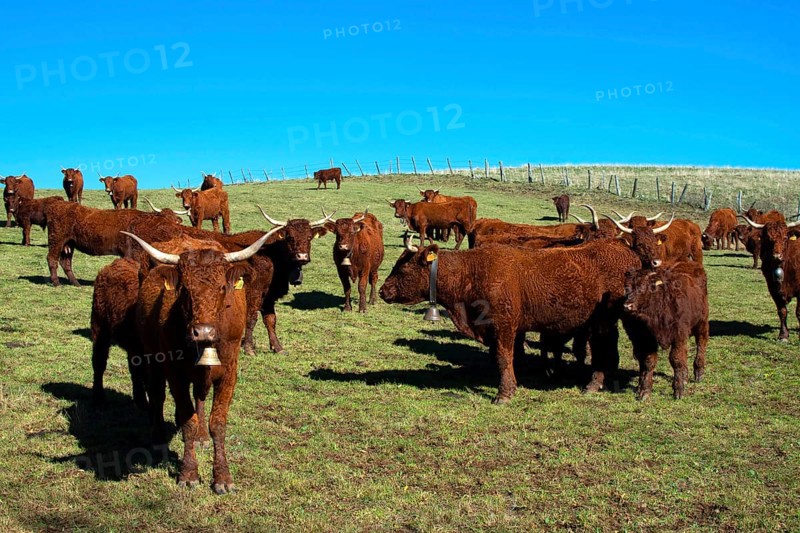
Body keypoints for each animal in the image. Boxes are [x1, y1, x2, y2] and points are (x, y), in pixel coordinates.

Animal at [127, 228, 283, 494]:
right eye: (185, 290)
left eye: (222, 287)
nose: (203, 332)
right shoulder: (175, 374)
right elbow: (187, 419)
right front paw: (189, 473)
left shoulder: (229, 373)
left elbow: (217, 423)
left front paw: (222, 477)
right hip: (152, 359)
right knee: (157, 395)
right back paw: (158, 438)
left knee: (199, 396)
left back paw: (201, 437)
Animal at [379, 236, 641, 403]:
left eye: (401, 269)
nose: (382, 291)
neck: (471, 272)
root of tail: (621, 247)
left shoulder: (503, 326)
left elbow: (503, 357)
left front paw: (504, 393)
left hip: (603, 322)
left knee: (602, 350)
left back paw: (593, 384)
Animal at [622, 261, 709, 400]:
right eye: (626, 287)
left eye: (644, 287)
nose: (627, 305)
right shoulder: (648, 339)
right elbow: (649, 362)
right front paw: (645, 391)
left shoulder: (678, 335)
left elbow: (676, 359)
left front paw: (678, 390)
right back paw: (685, 376)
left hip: (702, 322)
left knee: (701, 343)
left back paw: (699, 372)